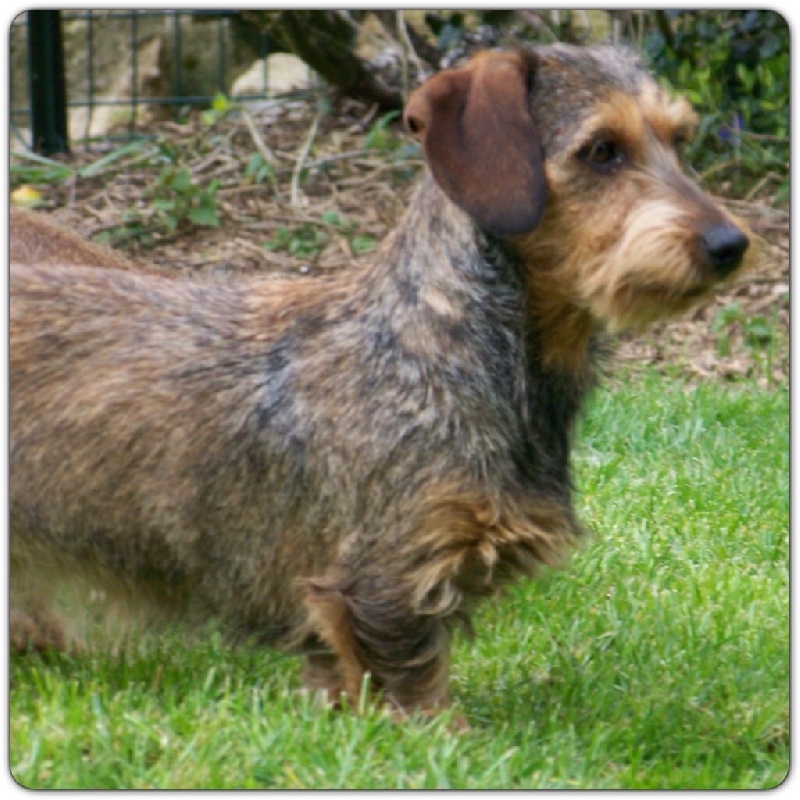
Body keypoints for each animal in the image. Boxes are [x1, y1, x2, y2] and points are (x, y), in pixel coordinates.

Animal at [10, 44, 751, 723]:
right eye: (601, 150)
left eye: (680, 139)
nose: (731, 245)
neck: (432, 342)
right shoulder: (385, 581)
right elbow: (412, 681)